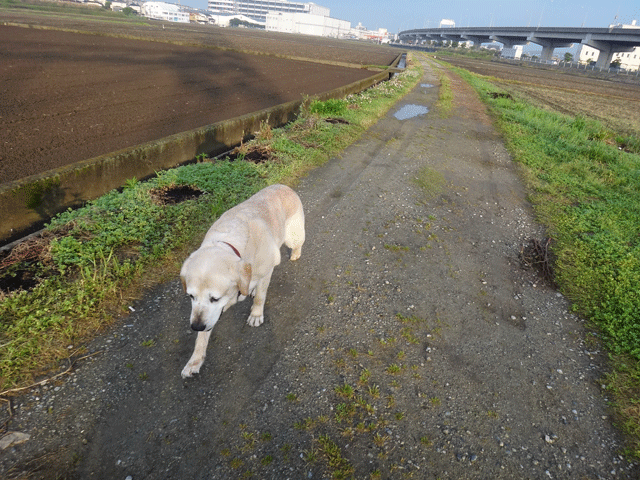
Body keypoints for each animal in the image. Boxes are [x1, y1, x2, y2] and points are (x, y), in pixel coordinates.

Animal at [180, 184, 304, 378]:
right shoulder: (207, 314)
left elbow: (261, 296)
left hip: (293, 236)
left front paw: (256, 314)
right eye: (191, 296)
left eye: (214, 298)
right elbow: (202, 337)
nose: (196, 327)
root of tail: (282, 186)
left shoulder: (266, 271)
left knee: (296, 245)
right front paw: (194, 361)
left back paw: (295, 254)